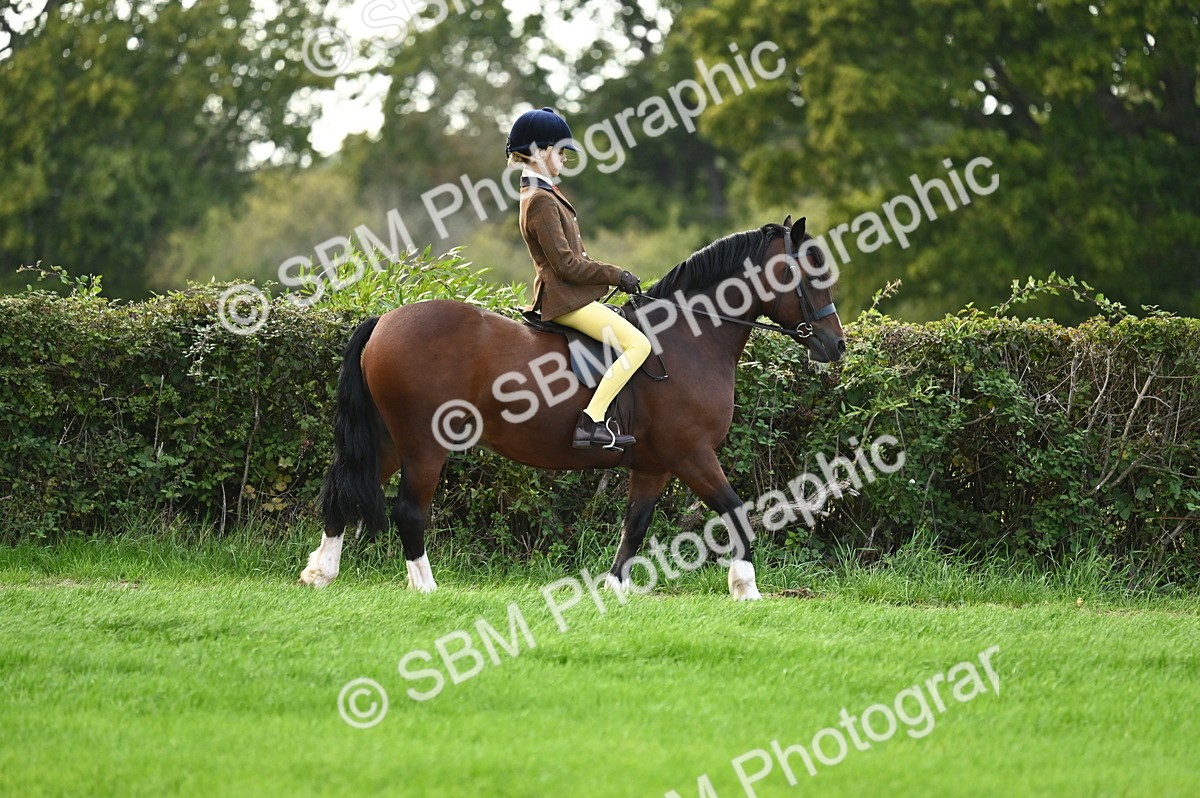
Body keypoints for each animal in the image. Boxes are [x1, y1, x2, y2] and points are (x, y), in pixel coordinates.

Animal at [299, 215, 845, 600]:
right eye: (811, 273)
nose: (835, 346)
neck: (689, 338)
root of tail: (384, 321)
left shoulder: (654, 465)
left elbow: (634, 526)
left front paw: (613, 590)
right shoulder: (691, 454)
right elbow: (735, 509)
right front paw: (746, 588)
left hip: (390, 439)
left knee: (342, 488)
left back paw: (320, 572)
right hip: (423, 443)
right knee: (409, 510)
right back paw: (426, 588)